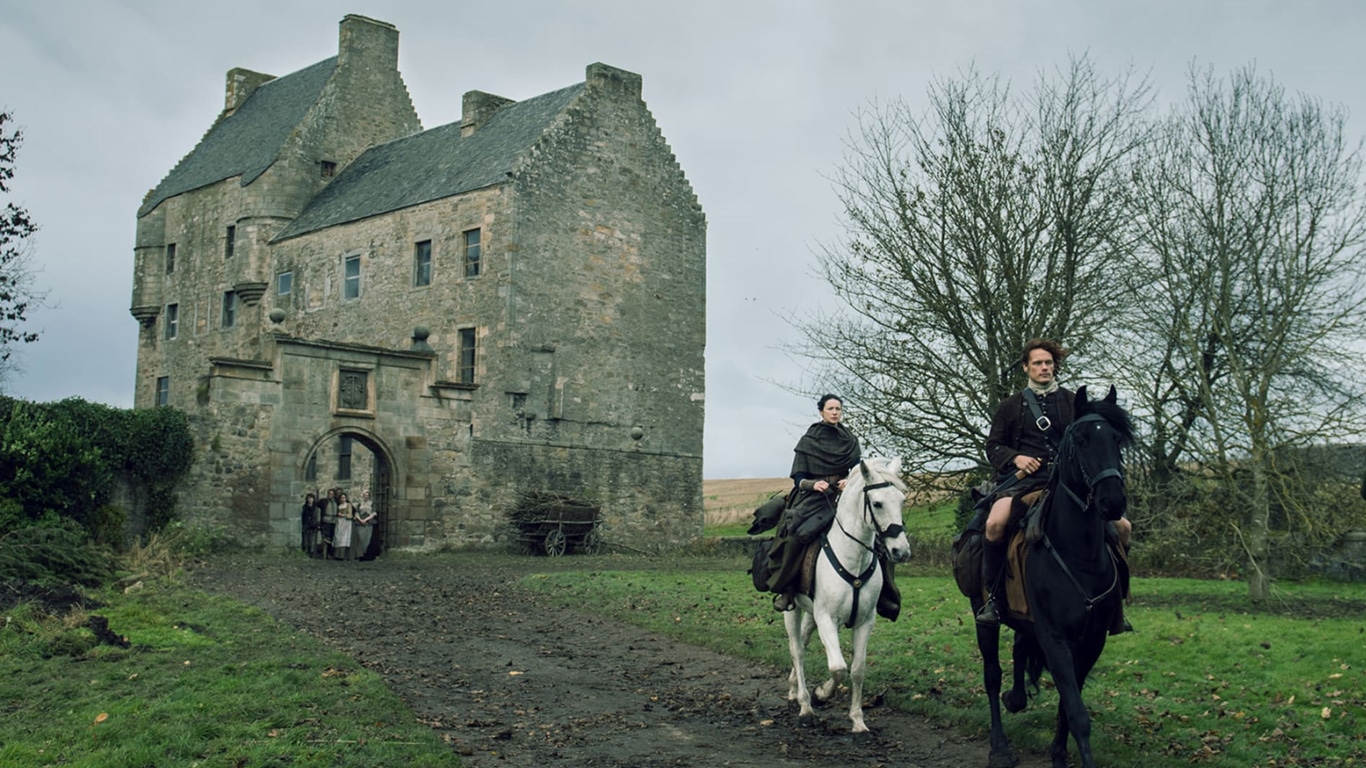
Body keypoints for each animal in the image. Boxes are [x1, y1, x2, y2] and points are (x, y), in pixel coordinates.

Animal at [786, 453, 912, 727]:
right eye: (877, 503)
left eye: (901, 501)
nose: (901, 551)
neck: (853, 560)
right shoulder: (826, 619)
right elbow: (838, 668)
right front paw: (821, 694)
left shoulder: (865, 621)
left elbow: (857, 670)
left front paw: (858, 720)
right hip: (792, 609)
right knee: (797, 650)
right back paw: (804, 703)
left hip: (810, 613)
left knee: (803, 640)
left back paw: (792, 688)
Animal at [972, 385, 1131, 765]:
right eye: (1081, 440)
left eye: (1117, 439)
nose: (1113, 502)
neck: (1080, 555)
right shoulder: (1055, 638)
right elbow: (1076, 711)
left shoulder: (1092, 639)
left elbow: (1068, 704)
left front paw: (1058, 751)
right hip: (982, 616)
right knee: (992, 675)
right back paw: (999, 746)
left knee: (1018, 647)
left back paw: (1016, 699)